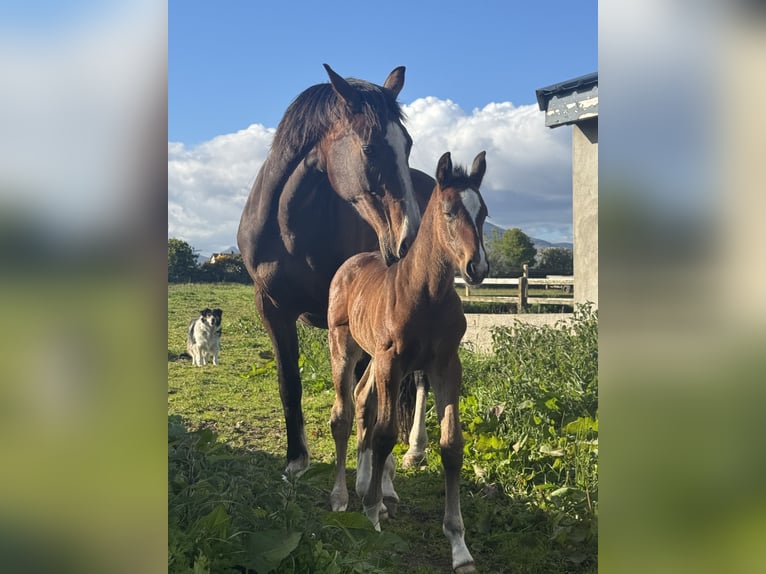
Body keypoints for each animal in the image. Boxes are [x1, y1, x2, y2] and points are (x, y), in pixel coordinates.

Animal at [237, 65, 433, 475]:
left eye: (407, 145)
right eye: (370, 147)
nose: (410, 240)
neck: (291, 229)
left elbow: (364, 397)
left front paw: (369, 466)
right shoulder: (272, 309)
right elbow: (289, 383)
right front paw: (296, 458)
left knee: (420, 377)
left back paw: (415, 449)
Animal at [328, 151, 488, 574]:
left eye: (483, 212)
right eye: (449, 211)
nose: (477, 268)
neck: (427, 295)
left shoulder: (446, 366)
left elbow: (451, 446)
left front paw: (459, 546)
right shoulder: (392, 361)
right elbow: (384, 434)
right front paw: (370, 516)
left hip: (374, 360)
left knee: (363, 400)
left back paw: (370, 486)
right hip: (345, 347)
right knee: (344, 414)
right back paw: (343, 497)